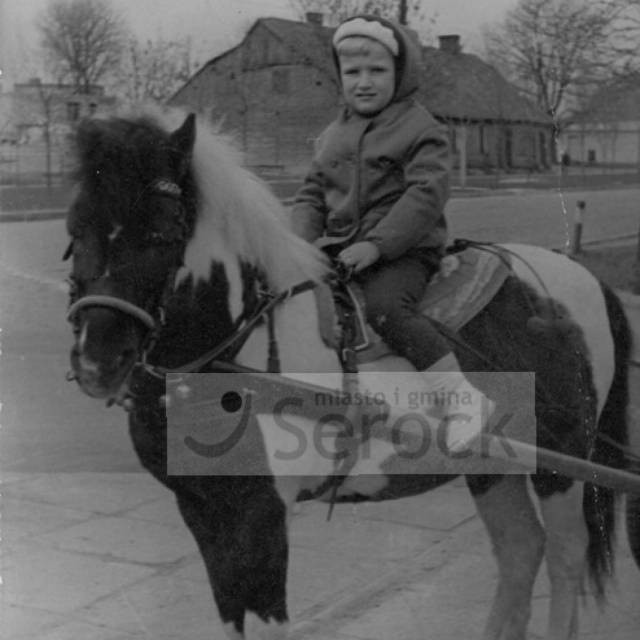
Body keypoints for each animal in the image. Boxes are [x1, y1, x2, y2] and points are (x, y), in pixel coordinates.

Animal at [66, 107, 640, 636]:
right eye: (75, 229)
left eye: (163, 232)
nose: (98, 359)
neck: (235, 357)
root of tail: (581, 275)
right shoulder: (202, 510)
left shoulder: (263, 514)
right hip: (491, 463)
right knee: (521, 549)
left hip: (561, 456)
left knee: (565, 555)